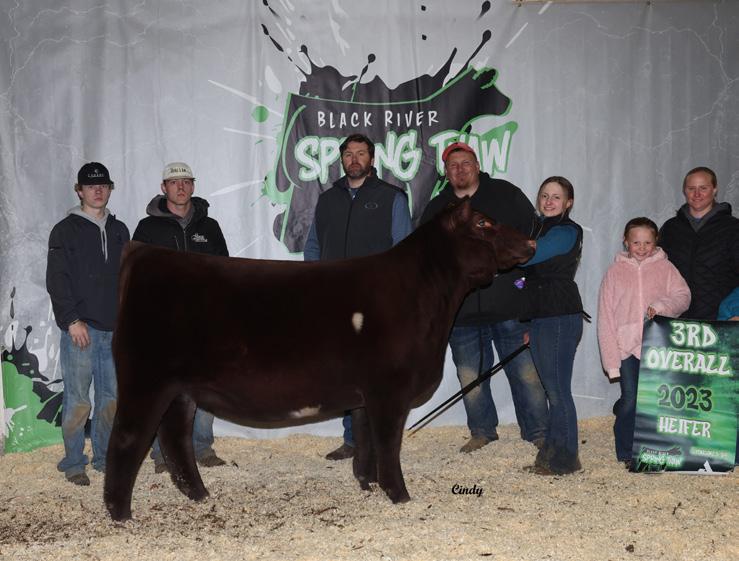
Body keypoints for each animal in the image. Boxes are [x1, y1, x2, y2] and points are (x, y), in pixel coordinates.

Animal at [103, 199, 534, 521]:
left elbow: (365, 439)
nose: (531, 244)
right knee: (126, 439)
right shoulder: (389, 390)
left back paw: (199, 495)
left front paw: (367, 484)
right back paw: (120, 513)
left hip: (181, 389)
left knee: (175, 439)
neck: (426, 296)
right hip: (146, 380)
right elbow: (388, 444)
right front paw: (398, 495)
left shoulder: (366, 394)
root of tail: (145, 253)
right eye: (483, 222)